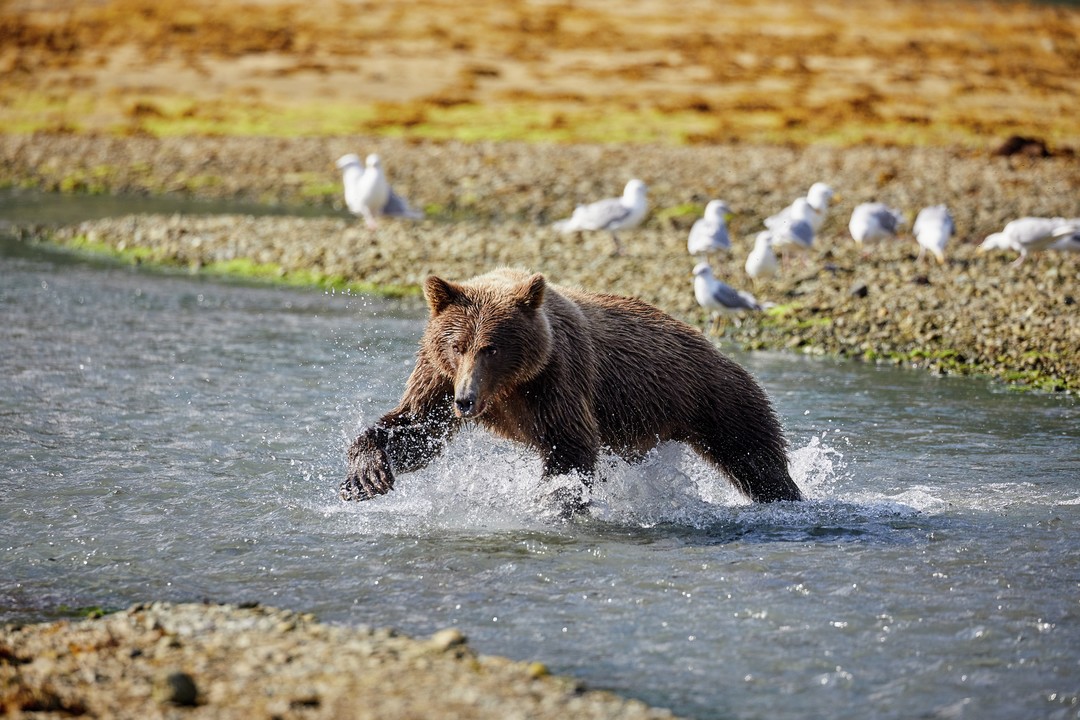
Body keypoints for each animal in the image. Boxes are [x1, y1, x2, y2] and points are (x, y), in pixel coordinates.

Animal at [341, 268, 807, 511]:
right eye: (457, 346)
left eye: (492, 347)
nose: (466, 402)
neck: (508, 387)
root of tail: (714, 349)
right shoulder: (438, 375)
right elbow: (418, 429)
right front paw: (365, 476)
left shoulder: (555, 378)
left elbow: (570, 444)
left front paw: (554, 500)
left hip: (716, 397)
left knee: (755, 457)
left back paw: (788, 497)